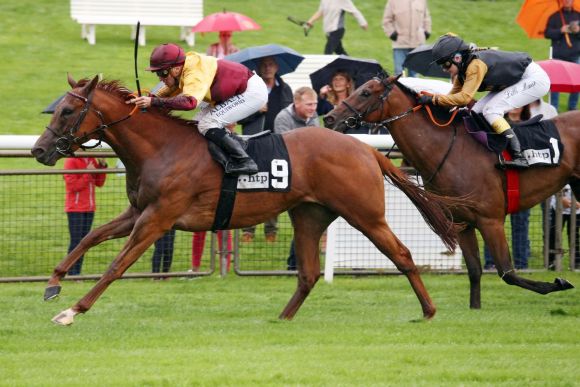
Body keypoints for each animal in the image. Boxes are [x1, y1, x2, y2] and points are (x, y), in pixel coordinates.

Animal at [32, 75, 466, 324]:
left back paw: (428, 311)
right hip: (309, 215)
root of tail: (364, 149)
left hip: (365, 214)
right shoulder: (138, 211)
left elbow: (116, 265)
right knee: (308, 273)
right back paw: (281, 319)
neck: (160, 148)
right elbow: (90, 238)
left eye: (67, 110)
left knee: (402, 254)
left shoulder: (157, 219)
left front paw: (72, 310)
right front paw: (53, 284)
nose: (39, 150)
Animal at [324, 73, 576, 310]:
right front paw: (475, 309)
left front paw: (558, 283)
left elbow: (508, 273)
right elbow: (474, 271)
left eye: (366, 93)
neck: (450, 150)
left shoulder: (491, 220)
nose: (329, 118)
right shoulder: (462, 222)